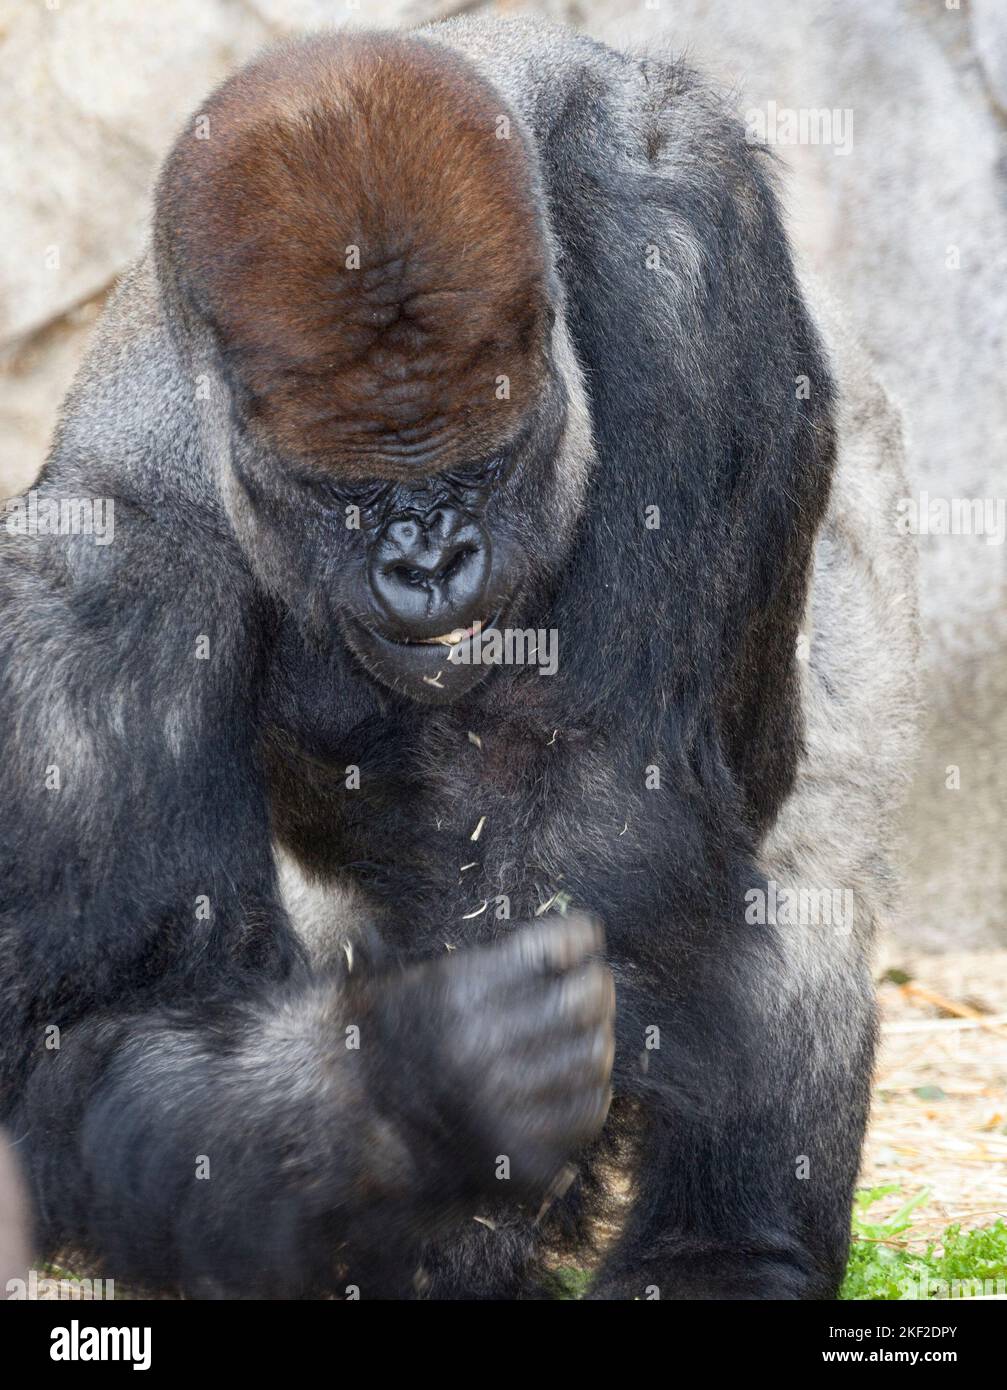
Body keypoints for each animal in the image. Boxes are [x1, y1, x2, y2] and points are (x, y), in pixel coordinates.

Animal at [0, 16, 917, 1295]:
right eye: (350, 493)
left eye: (480, 461)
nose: (431, 559)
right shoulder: (89, 588)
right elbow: (71, 1033)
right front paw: (408, 1099)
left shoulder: (674, 217)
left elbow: (604, 783)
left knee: (804, 856)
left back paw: (726, 1251)